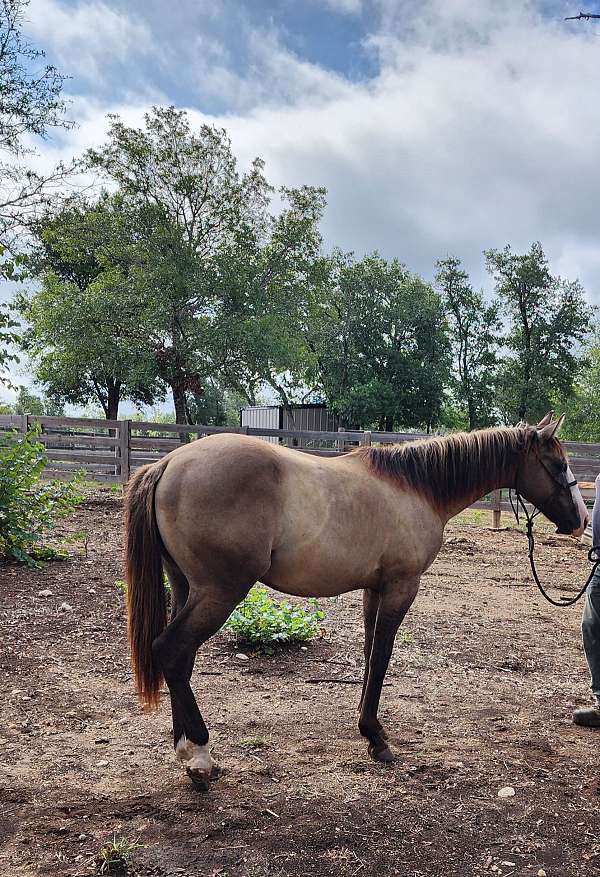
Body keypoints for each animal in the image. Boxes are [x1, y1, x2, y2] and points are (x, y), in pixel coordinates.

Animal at [122, 414, 584, 792]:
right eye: (559, 465)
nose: (580, 521)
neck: (416, 488)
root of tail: (168, 464)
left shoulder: (373, 589)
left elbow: (367, 653)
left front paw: (367, 729)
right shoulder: (401, 587)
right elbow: (381, 656)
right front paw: (377, 738)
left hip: (187, 588)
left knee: (179, 659)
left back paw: (186, 748)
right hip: (220, 592)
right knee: (170, 649)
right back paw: (199, 754)